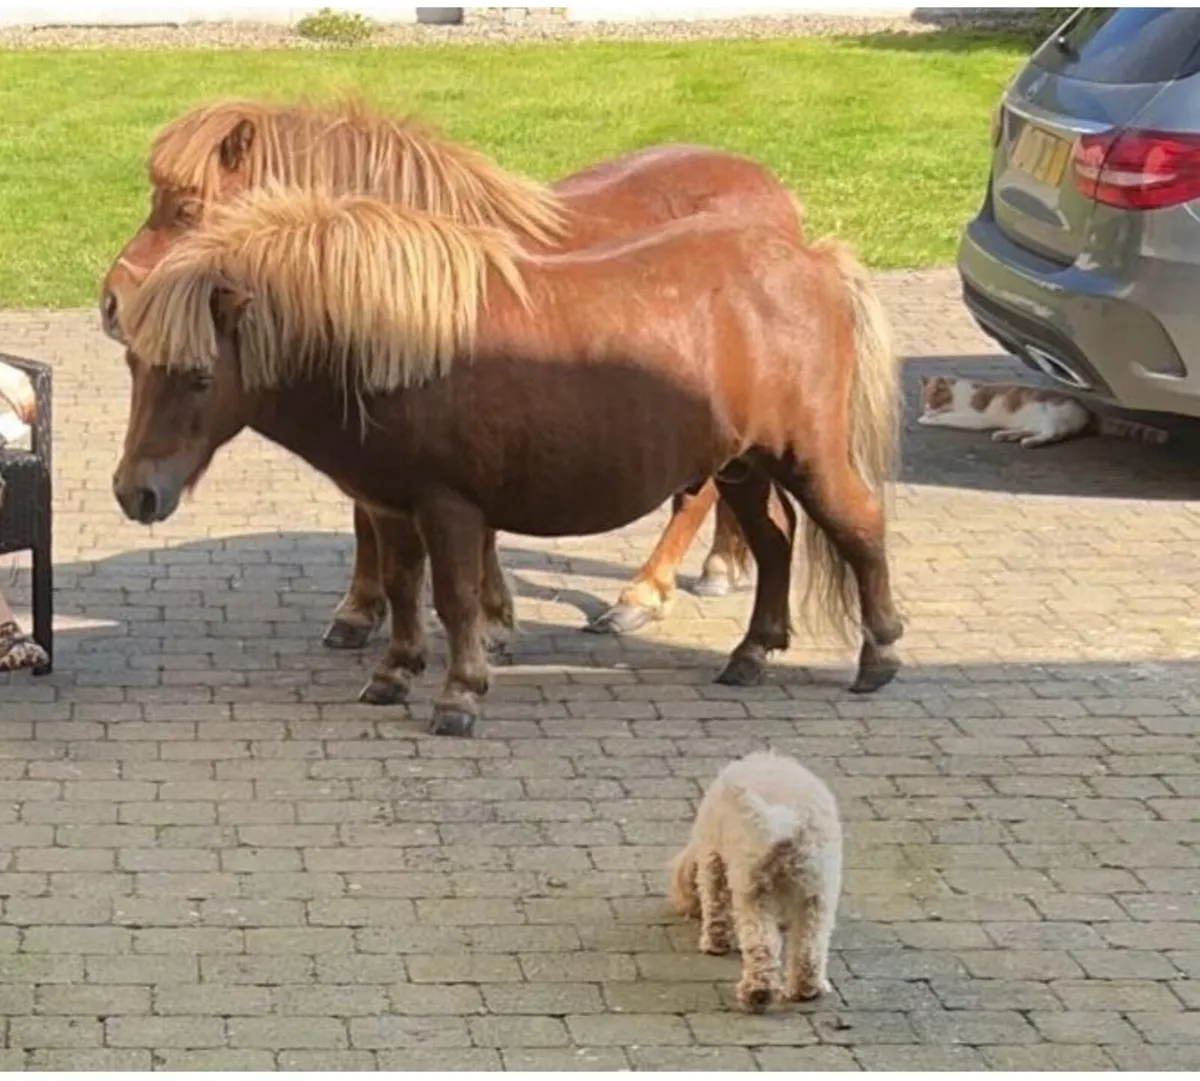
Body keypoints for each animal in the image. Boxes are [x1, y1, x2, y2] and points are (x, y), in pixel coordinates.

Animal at [98, 97, 803, 663]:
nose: (113, 304)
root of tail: (774, 199)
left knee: (696, 495)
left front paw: (489, 620)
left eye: (187, 207)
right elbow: (368, 514)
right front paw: (362, 611)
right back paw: (721, 564)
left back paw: (643, 594)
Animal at [111, 185, 904, 739]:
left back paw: (879, 657)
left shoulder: (450, 506)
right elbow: (402, 588)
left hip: (807, 456)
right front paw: (394, 673)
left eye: (200, 377)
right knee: (775, 542)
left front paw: (460, 694)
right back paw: (752, 653)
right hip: (742, 465)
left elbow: (456, 598)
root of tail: (813, 261)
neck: (393, 345)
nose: (134, 494)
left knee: (860, 529)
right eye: (134, 364)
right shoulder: (390, 505)